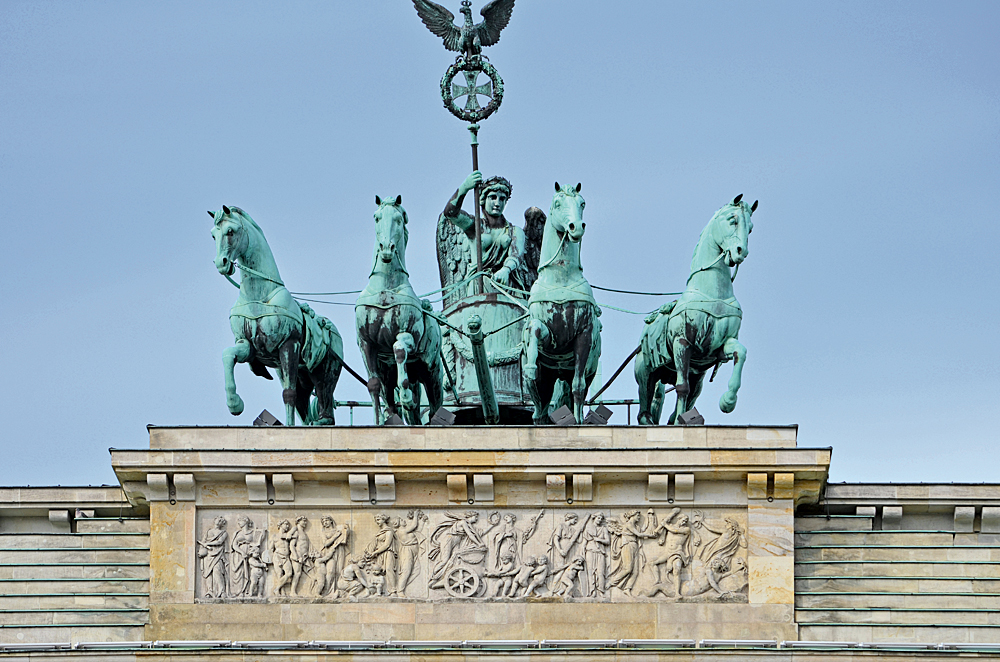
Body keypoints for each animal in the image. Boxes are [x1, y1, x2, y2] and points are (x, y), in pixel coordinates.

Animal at [210, 205, 344, 428]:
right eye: (213, 235)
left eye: (230, 231)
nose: (221, 264)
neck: (259, 295)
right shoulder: (247, 345)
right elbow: (228, 354)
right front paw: (235, 404)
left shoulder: (289, 345)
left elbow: (288, 394)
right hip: (301, 375)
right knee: (303, 404)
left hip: (325, 372)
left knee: (323, 398)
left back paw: (322, 420)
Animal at [356, 196, 442, 426]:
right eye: (377, 217)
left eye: (399, 218)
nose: (386, 248)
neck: (386, 287)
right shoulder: (366, 344)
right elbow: (373, 384)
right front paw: (377, 422)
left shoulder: (407, 334)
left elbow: (399, 349)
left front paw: (405, 397)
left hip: (433, 375)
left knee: (434, 406)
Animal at [524, 182, 600, 426]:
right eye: (557, 203)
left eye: (582, 203)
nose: (576, 227)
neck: (560, 278)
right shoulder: (549, 336)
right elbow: (535, 329)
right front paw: (530, 365)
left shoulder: (584, 335)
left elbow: (578, 387)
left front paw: (577, 422)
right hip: (546, 379)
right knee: (540, 407)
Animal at [632, 195, 756, 428]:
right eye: (732, 220)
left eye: (751, 228)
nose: (741, 252)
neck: (712, 292)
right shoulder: (682, 343)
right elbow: (682, 387)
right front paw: (679, 422)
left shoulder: (719, 347)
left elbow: (741, 353)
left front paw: (728, 401)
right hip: (645, 366)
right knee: (646, 390)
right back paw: (647, 418)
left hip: (697, 375)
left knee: (692, 394)